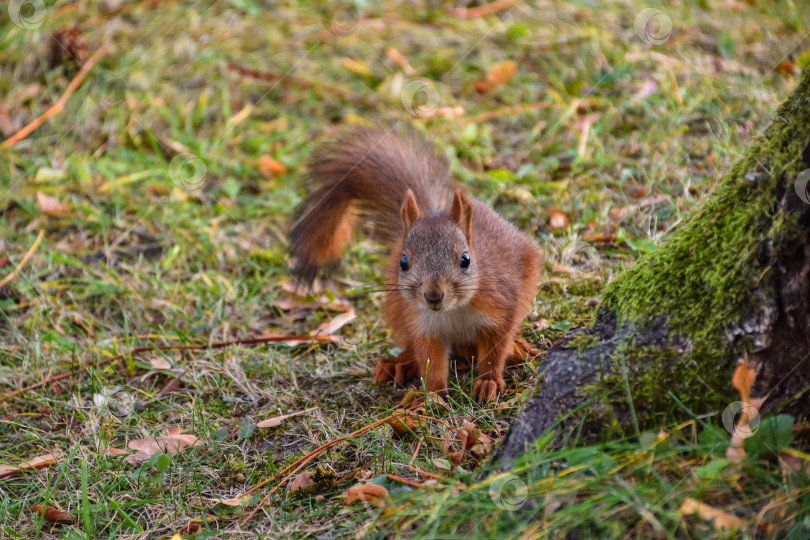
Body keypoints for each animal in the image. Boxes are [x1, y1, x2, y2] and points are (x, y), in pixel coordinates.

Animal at [288, 124, 540, 398]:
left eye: (465, 260)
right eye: (404, 262)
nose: (433, 295)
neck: (454, 310)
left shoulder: (501, 306)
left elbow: (495, 349)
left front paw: (488, 381)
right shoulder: (422, 324)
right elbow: (430, 358)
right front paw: (429, 395)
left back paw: (517, 348)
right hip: (398, 308)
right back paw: (398, 363)